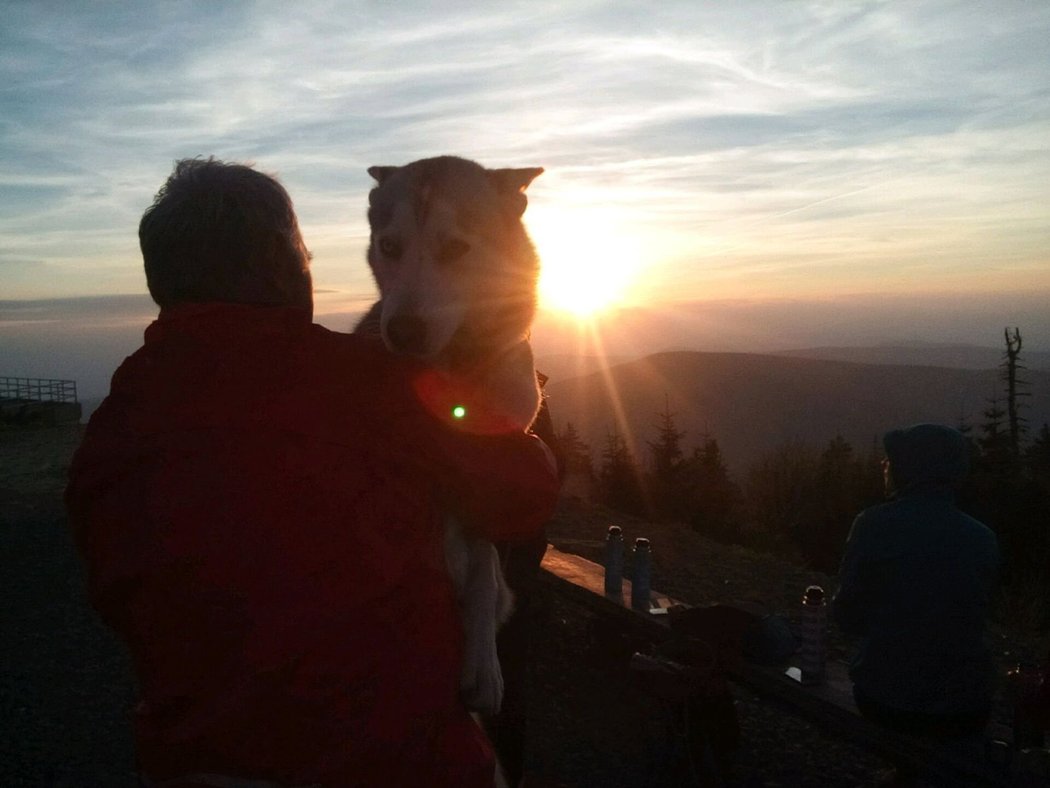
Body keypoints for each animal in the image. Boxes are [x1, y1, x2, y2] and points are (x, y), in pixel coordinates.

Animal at [356, 154, 546, 722]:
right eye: (389, 246)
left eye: (456, 248)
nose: (402, 332)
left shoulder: (493, 485)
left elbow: (484, 568)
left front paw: (483, 664)